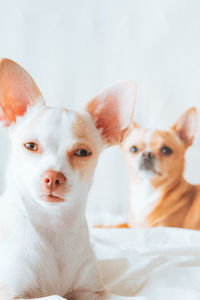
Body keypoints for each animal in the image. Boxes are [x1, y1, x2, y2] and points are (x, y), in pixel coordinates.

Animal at [0, 59, 136, 300]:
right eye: (30, 146)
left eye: (82, 152)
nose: (53, 177)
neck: (55, 227)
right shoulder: (11, 293)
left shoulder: (92, 291)